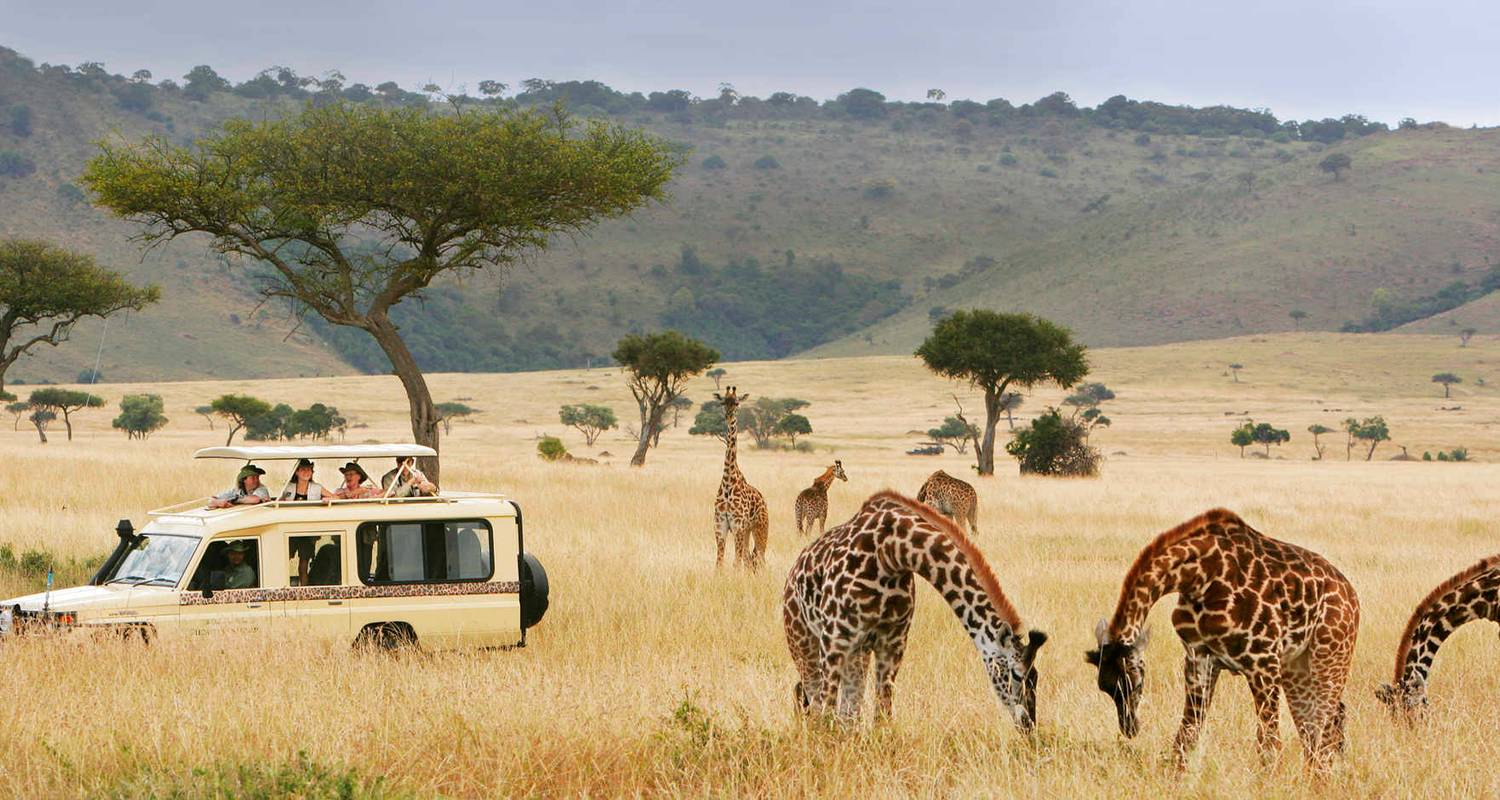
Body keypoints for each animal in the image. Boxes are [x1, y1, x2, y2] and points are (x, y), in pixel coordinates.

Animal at [711, 387, 768, 567]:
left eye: (736, 402)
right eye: (723, 402)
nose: (728, 415)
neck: (728, 481)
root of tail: (763, 500)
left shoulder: (737, 526)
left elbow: (735, 564)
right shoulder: (720, 525)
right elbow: (719, 563)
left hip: (760, 528)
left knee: (760, 559)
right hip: (747, 531)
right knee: (749, 559)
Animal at [780, 489, 1050, 726]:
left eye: (1035, 676)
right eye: (1017, 674)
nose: (1029, 724)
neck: (892, 552)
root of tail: (792, 574)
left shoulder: (893, 643)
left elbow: (882, 716)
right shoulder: (834, 640)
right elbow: (825, 713)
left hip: (857, 654)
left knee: (847, 713)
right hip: (804, 642)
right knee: (812, 700)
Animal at [1086, 507, 1368, 768]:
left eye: (1136, 684)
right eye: (1105, 687)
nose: (1130, 728)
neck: (1199, 578)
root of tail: (1351, 594)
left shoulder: (1263, 661)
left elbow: (1269, 745)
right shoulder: (1199, 657)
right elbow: (1186, 736)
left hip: (1329, 656)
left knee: (1325, 727)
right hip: (1296, 667)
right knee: (1317, 727)